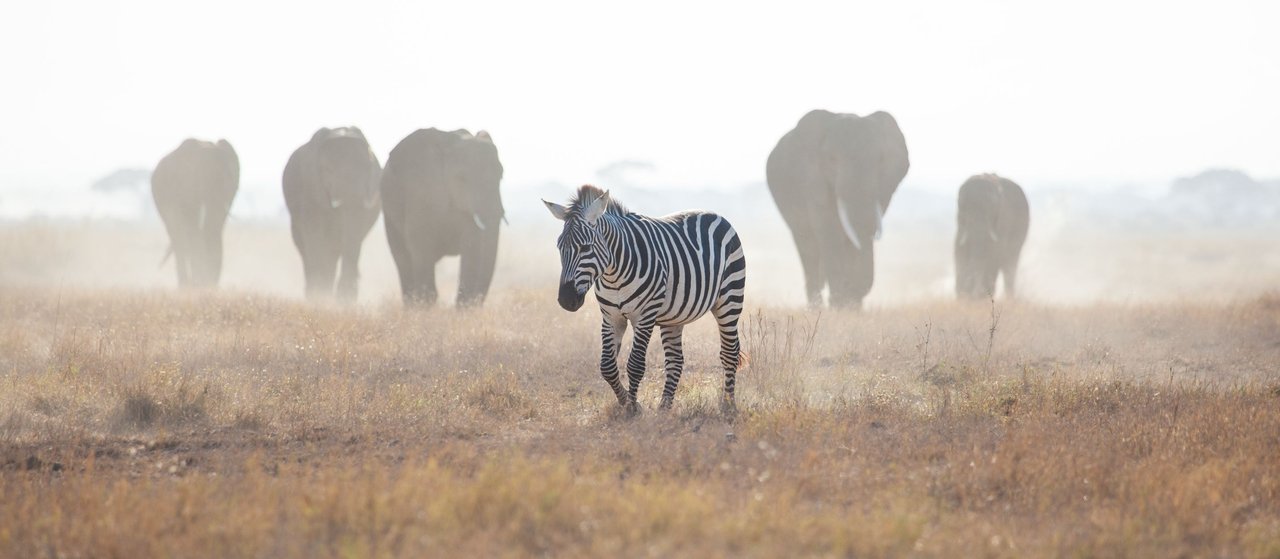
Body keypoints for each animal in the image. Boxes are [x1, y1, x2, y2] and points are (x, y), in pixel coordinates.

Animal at [280, 126, 378, 300]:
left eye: (368, 168)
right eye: (328, 170)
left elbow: (355, 232)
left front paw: (345, 299)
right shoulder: (310, 186)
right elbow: (314, 233)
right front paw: (319, 294)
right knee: (305, 246)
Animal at [376, 127, 501, 304]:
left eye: (501, 175)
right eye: (461, 178)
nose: (476, 302)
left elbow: (472, 243)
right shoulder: (420, 189)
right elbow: (421, 244)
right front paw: (424, 305)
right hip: (388, 210)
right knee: (403, 257)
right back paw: (413, 304)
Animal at [542, 185, 747, 411]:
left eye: (586, 247)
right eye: (559, 247)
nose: (566, 300)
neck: (613, 274)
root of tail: (713, 213)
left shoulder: (644, 316)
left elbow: (635, 365)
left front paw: (632, 407)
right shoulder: (611, 317)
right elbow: (607, 366)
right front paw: (625, 401)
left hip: (730, 299)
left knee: (729, 352)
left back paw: (728, 406)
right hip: (673, 317)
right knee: (675, 360)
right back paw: (664, 408)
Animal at [762, 108, 906, 309]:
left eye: (880, 159)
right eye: (832, 159)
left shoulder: (885, 188)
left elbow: (855, 238)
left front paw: (850, 307)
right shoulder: (813, 181)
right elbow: (830, 232)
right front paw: (839, 305)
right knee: (808, 247)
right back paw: (816, 307)